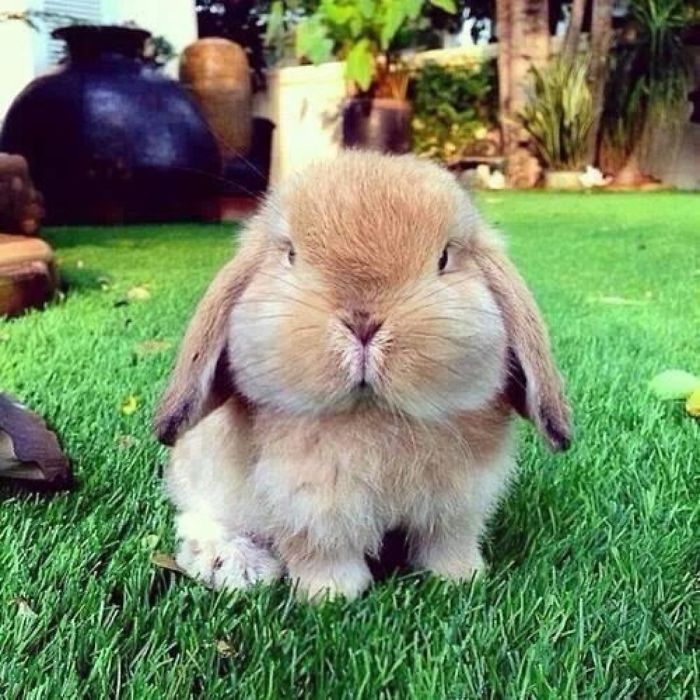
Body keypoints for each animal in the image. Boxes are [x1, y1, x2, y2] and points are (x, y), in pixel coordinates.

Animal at [154, 151, 571, 601]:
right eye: (291, 256)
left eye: (444, 259)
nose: (363, 323)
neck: (375, 415)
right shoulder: (308, 506)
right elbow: (323, 553)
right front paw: (331, 595)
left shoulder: (459, 505)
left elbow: (447, 543)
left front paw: (462, 579)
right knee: (197, 518)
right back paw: (235, 566)